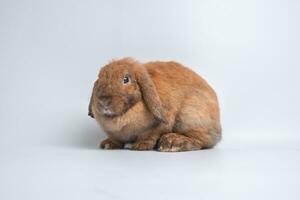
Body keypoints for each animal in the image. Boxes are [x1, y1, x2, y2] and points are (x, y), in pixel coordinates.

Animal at [88, 57, 221, 152]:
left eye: (126, 79)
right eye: (99, 78)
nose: (103, 100)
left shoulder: (160, 124)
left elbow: (151, 134)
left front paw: (141, 145)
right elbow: (115, 138)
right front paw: (108, 144)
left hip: (189, 116)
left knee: (202, 141)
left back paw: (171, 143)